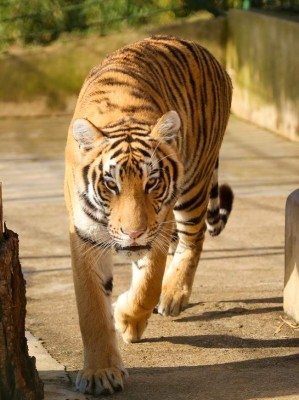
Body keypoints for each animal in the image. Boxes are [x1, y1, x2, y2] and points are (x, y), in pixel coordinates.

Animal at [65, 35, 234, 396]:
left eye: (152, 182)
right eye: (110, 183)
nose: (133, 233)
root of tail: (202, 47)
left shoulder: (159, 226)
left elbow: (148, 285)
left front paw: (127, 319)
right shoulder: (85, 237)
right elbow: (91, 310)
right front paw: (100, 373)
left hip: (194, 186)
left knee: (193, 240)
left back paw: (173, 295)